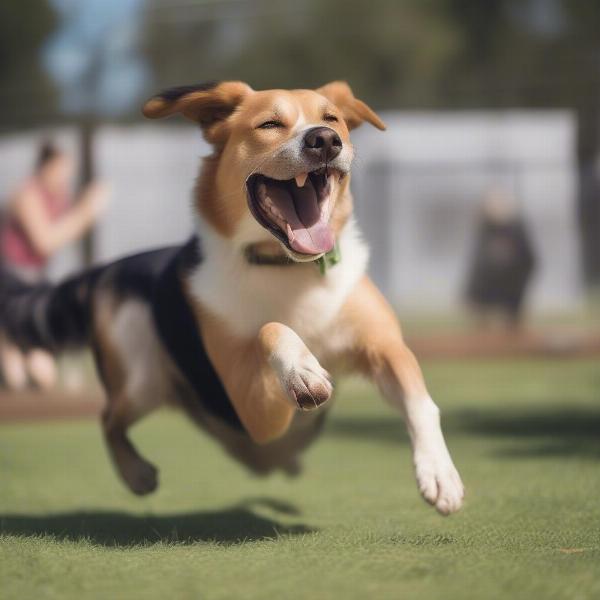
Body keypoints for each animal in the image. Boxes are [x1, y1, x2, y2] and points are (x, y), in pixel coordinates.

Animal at [0, 81, 464, 516]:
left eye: (331, 119)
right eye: (270, 124)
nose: (325, 140)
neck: (287, 268)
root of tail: (114, 267)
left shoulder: (383, 345)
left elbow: (421, 402)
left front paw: (439, 472)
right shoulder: (255, 413)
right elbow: (270, 327)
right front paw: (301, 370)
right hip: (139, 378)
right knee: (108, 417)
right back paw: (137, 473)